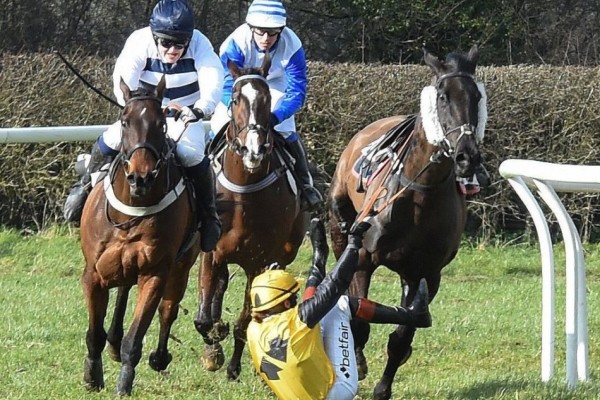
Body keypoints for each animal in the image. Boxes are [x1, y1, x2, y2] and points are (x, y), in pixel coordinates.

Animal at [78, 76, 200, 396]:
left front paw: (124, 383)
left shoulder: (155, 273)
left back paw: (158, 356)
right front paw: (92, 376)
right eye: (125, 121)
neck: (130, 212)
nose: (140, 177)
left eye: (161, 123)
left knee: (168, 308)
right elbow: (94, 332)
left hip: (183, 264)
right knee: (122, 291)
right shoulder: (93, 274)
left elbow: (135, 337)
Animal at [196, 56, 310, 382]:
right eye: (235, 99)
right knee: (216, 288)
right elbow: (204, 317)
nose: (254, 149)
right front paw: (212, 350)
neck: (243, 194)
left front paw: (233, 366)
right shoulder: (212, 252)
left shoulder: (259, 262)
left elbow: (246, 320)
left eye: (268, 99)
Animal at [328, 45, 488, 398]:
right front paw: (358, 364)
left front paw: (383, 387)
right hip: (338, 224)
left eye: (476, 96)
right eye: (442, 96)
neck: (420, 192)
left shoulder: (425, 273)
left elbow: (403, 334)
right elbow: (360, 319)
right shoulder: (363, 258)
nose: (467, 156)